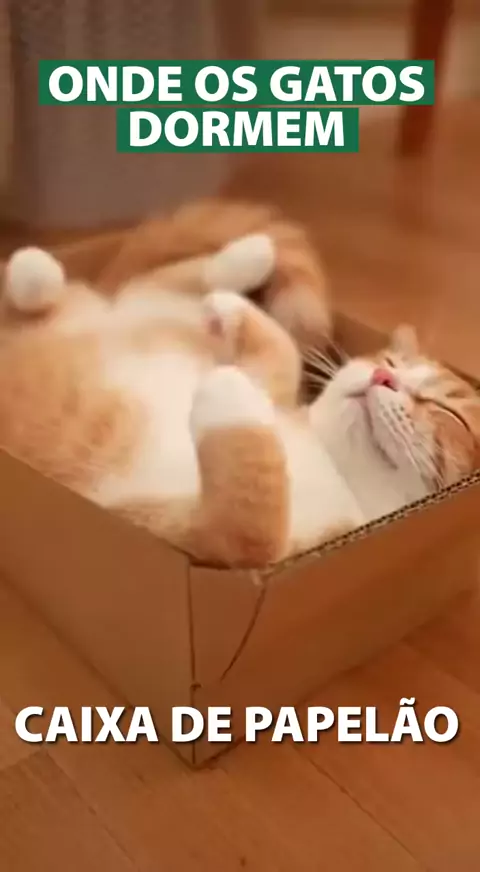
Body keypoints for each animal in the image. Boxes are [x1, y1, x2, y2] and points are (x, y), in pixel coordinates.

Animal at [1, 237, 479, 569]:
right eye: (389, 361)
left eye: (447, 411)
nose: (384, 377)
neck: (330, 463)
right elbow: (282, 353)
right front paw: (235, 314)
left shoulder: (214, 544)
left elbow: (252, 520)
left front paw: (227, 389)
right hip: (118, 306)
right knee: (133, 284)